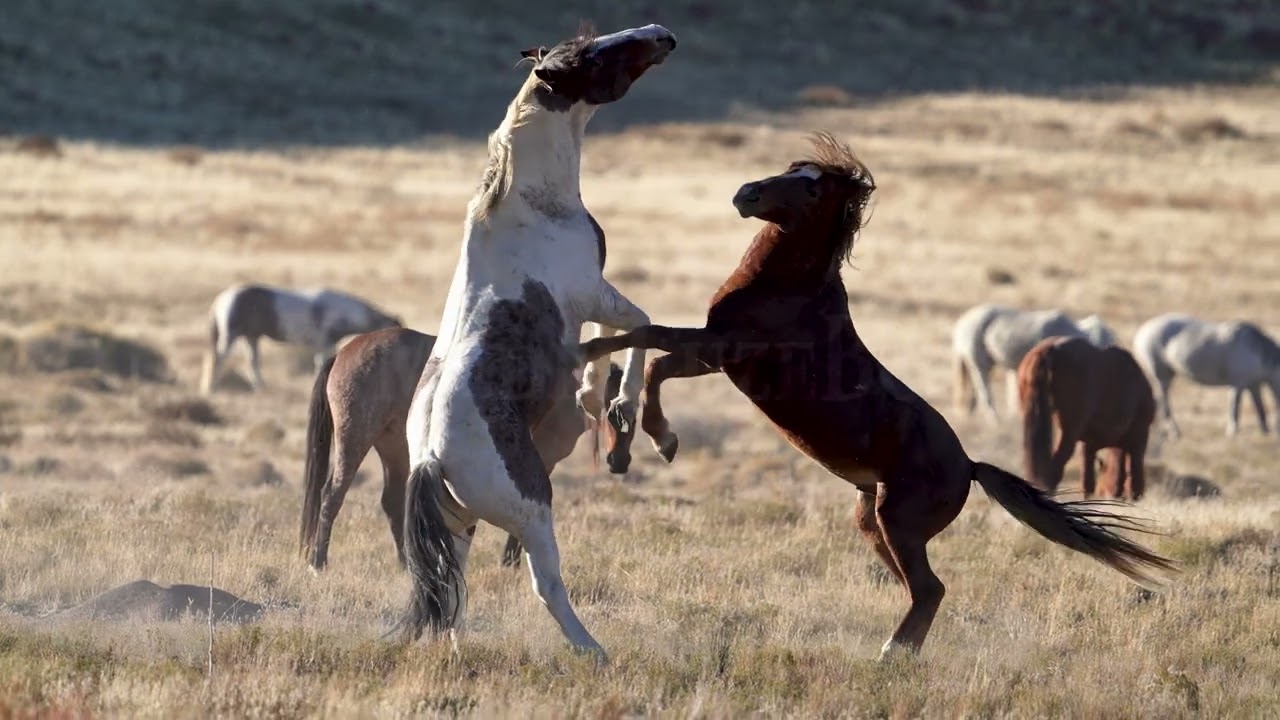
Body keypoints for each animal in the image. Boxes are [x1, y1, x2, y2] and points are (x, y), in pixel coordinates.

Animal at [199, 283, 401, 394]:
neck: (339, 311)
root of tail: (221, 300)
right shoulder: (323, 343)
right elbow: (321, 365)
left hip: (251, 337)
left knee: (252, 362)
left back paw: (260, 387)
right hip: (232, 335)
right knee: (219, 358)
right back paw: (212, 388)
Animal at [298, 325, 631, 571]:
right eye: (612, 411)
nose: (620, 461)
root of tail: (343, 351)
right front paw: (510, 563)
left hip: (392, 447)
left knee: (391, 501)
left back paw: (406, 564)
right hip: (356, 438)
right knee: (332, 494)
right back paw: (318, 563)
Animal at [397, 24, 676, 658]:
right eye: (590, 56)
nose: (660, 35)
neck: (529, 202)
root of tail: (430, 459)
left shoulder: (590, 305)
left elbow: (610, 339)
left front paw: (596, 397)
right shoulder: (593, 293)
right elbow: (641, 325)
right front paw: (620, 407)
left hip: (460, 525)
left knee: (450, 586)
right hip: (531, 512)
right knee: (545, 584)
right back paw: (594, 652)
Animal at [1017, 336, 1155, 500]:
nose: (1104, 493)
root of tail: (1049, 350)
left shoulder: (1088, 445)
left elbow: (1088, 482)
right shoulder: (1138, 438)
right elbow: (1132, 474)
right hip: (1068, 432)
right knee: (1054, 469)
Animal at [1133, 313, 1280, 439]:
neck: (1258, 350)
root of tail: (1142, 332)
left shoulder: (1254, 385)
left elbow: (1260, 408)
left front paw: (1265, 432)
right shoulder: (1237, 385)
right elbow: (1235, 408)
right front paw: (1232, 433)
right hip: (1162, 376)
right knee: (1164, 402)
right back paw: (1174, 433)